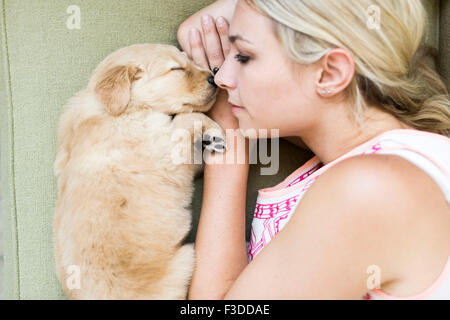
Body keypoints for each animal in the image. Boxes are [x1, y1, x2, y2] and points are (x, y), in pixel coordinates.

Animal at [52, 43, 225, 298]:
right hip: (186, 259)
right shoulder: (164, 155)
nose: (214, 77)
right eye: (176, 69)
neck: (122, 109)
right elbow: (187, 118)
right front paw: (213, 130)